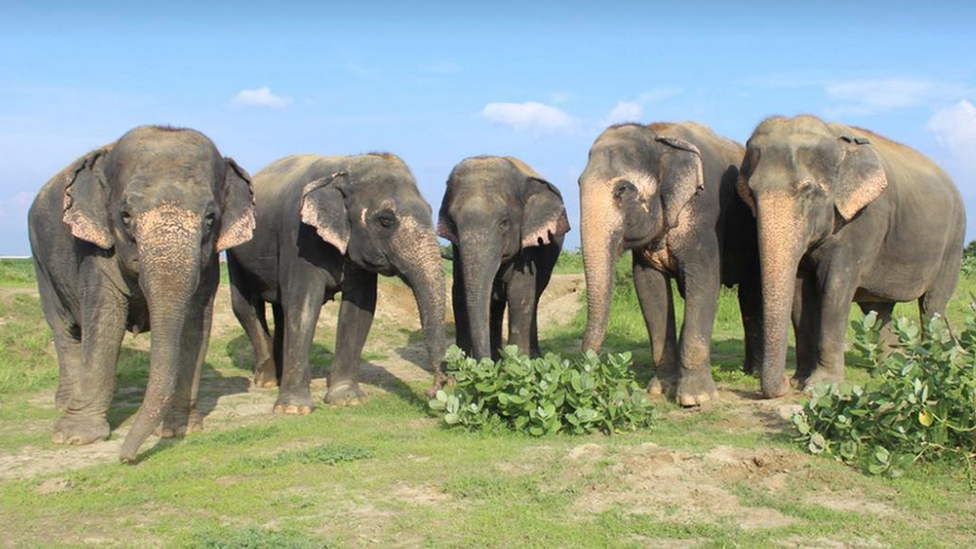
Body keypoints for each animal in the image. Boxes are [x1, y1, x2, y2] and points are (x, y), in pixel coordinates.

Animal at [30, 126, 258, 460]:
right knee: (65, 331)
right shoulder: (95, 249)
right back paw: (64, 404)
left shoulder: (208, 263)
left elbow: (195, 324)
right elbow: (106, 319)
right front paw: (75, 438)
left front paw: (180, 429)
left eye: (210, 218)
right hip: (41, 261)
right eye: (125, 216)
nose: (125, 456)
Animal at [225, 151, 446, 412]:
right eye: (386, 220)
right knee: (244, 306)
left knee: (280, 310)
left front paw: (347, 399)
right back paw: (267, 381)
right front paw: (294, 409)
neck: (345, 166)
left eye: (430, 210)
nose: (434, 389)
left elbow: (360, 310)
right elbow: (303, 305)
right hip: (235, 246)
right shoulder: (298, 237)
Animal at [436, 155, 568, 360]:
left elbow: (520, 294)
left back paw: (533, 356)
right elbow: (459, 292)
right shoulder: (458, 250)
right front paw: (462, 366)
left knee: (534, 299)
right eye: (453, 223)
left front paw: (517, 364)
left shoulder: (528, 249)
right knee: (496, 304)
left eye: (504, 223)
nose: (483, 362)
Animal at [576, 122, 760, 404]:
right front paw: (659, 389)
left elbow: (704, 279)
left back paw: (755, 373)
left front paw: (696, 399)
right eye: (578, 183)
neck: (658, 135)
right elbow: (649, 287)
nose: (595, 385)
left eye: (623, 190)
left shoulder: (705, 214)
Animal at [744, 116, 964, 398]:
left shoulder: (863, 221)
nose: (783, 382)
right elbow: (799, 293)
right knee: (879, 310)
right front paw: (800, 380)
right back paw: (887, 368)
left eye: (808, 191)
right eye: (751, 193)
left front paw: (822, 386)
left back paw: (934, 364)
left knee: (932, 305)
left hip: (953, 242)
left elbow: (835, 288)